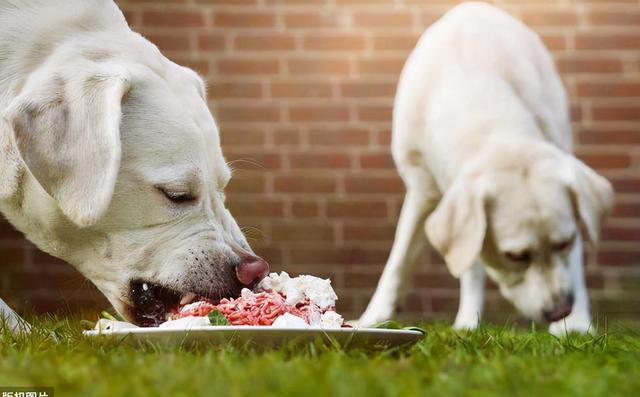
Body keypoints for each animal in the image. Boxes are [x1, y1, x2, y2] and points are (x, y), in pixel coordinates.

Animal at [360, 2, 616, 334]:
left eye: (564, 241)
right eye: (515, 256)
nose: (560, 310)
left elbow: (573, 262)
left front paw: (575, 325)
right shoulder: (421, 188)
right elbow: (399, 260)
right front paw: (373, 318)